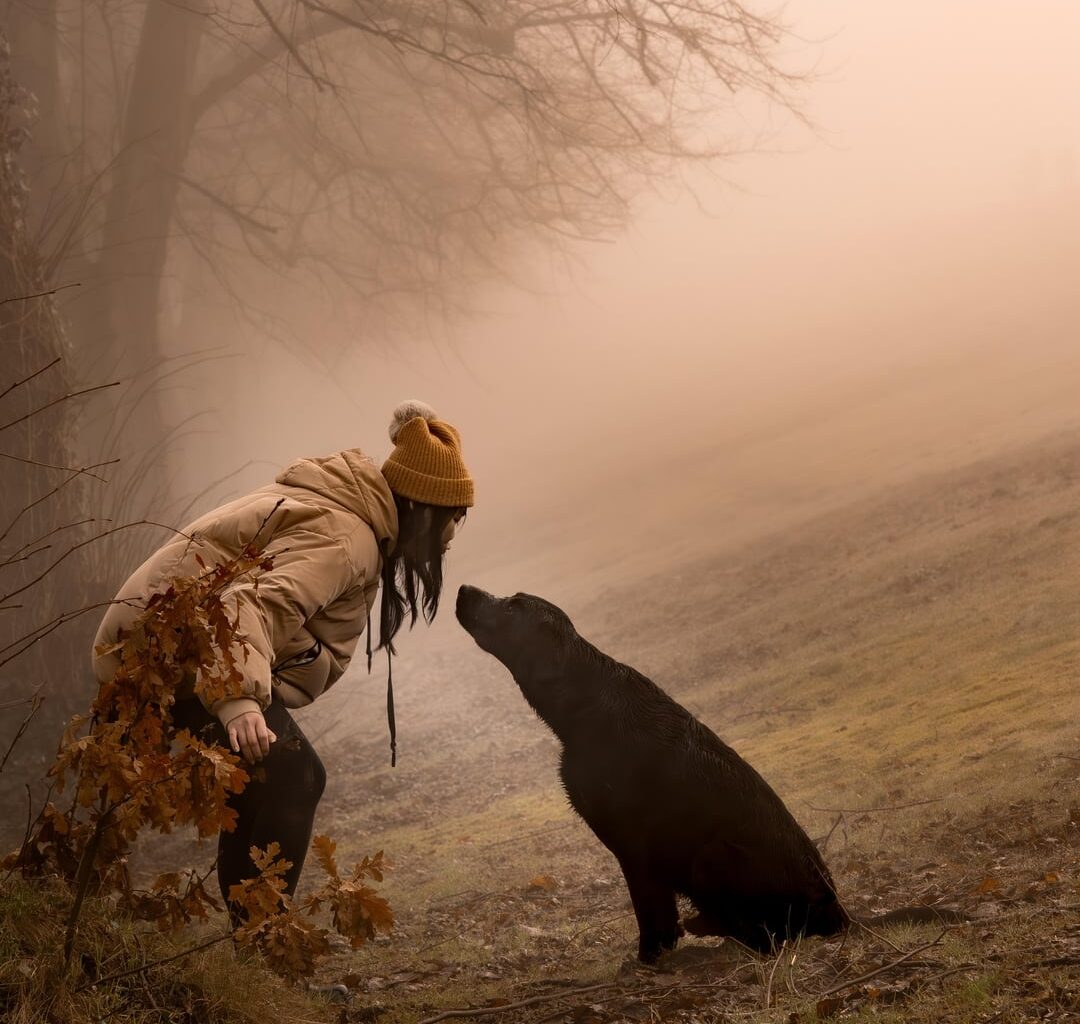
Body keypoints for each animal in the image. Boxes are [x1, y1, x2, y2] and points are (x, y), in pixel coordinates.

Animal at [451, 583, 846, 959]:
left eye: (512, 606)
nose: (462, 588)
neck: (584, 703)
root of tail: (837, 911)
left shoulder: (633, 845)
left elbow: (649, 908)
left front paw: (650, 954)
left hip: (712, 854)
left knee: (765, 935)